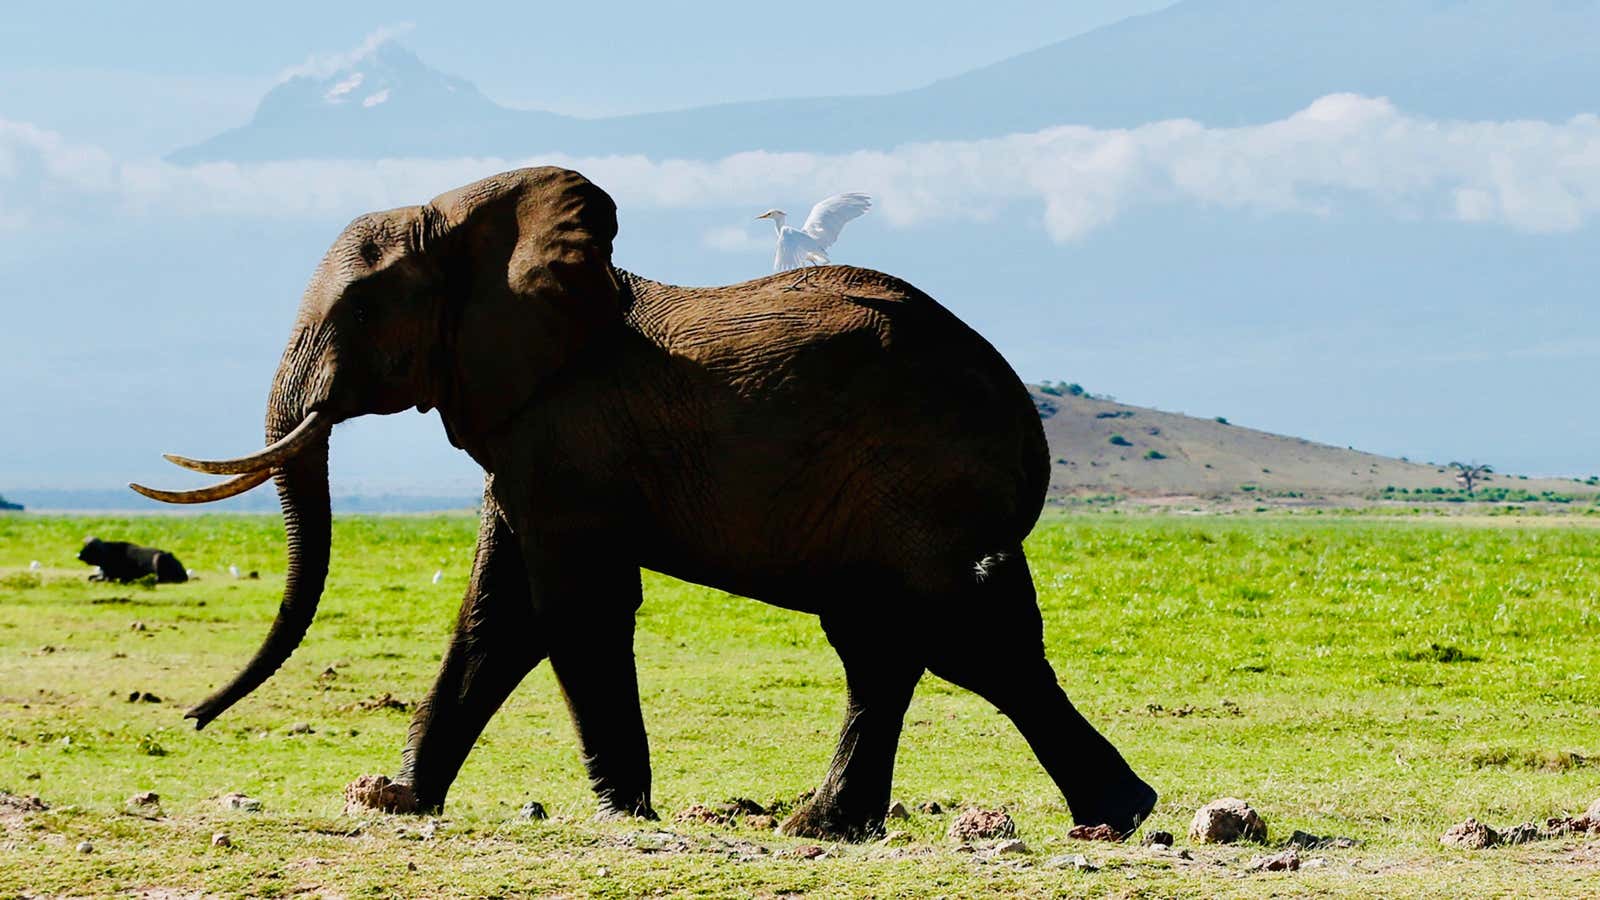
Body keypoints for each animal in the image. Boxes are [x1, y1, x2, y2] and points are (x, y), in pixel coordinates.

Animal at [131, 166, 1158, 839]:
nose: (191, 722)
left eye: (355, 313)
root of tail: (1024, 415)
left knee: (957, 635)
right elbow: (495, 615)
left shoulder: (566, 436)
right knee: (898, 643)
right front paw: (397, 800)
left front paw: (623, 810)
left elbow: (569, 608)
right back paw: (834, 825)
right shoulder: (526, 436)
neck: (474, 228)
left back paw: (1110, 816)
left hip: (919, 481)